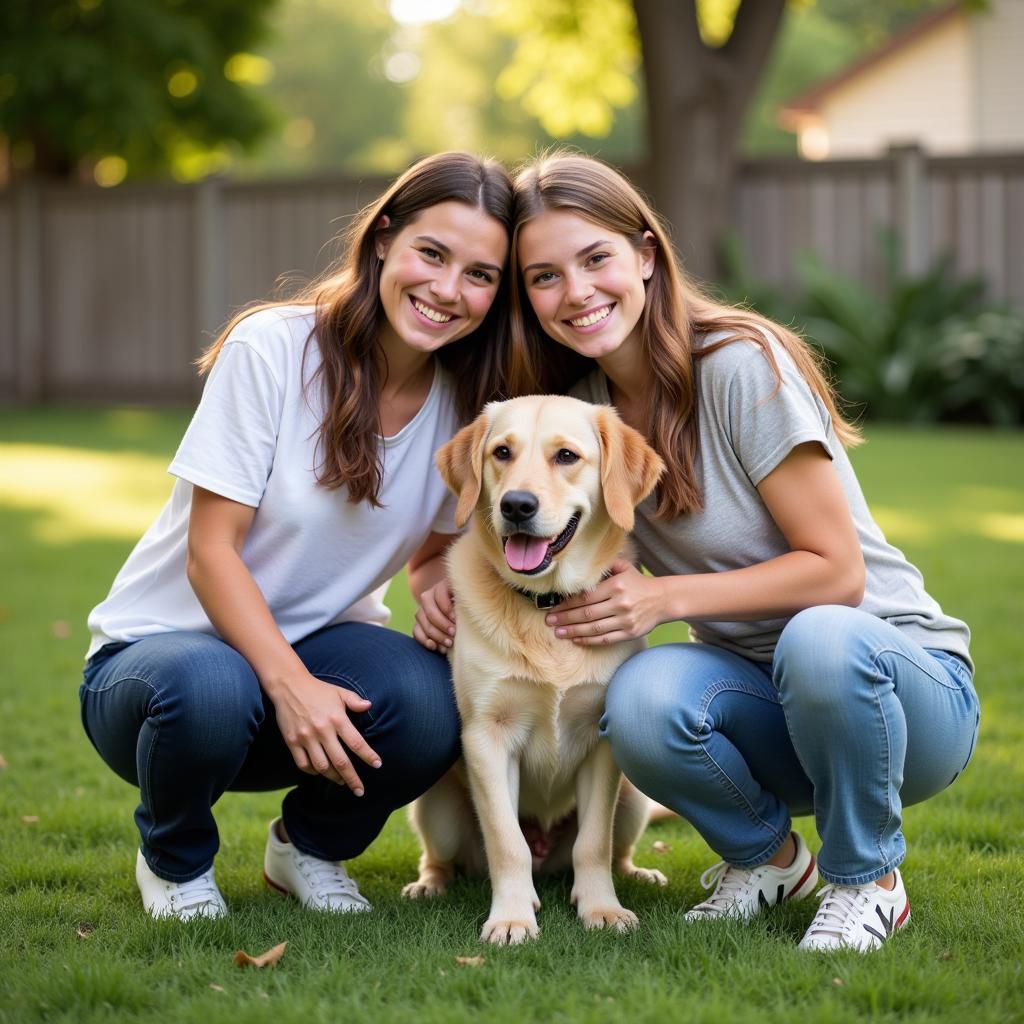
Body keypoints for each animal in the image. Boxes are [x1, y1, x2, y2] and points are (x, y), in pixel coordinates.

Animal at [403, 393, 667, 942]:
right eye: (502, 452)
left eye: (566, 456)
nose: (516, 505)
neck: (545, 604)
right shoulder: (487, 736)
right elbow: (508, 843)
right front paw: (511, 917)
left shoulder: (601, 742)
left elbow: (593, 843)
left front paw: (601, 908)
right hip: (437, 805)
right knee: (445, 857)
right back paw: (431, 884)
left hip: (633, 800)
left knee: (615, 849)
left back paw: (637, 874)